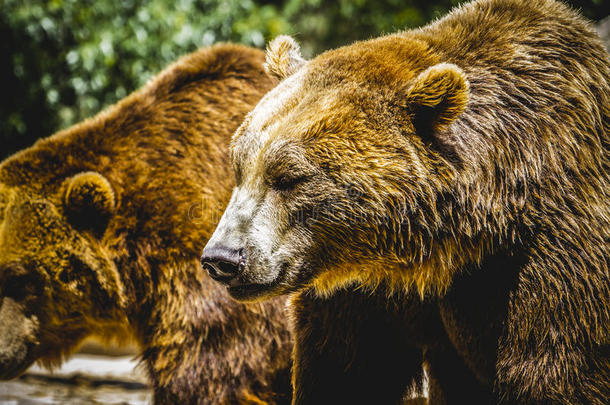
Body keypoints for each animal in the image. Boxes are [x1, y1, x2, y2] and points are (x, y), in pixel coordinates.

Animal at [201, 1, 608, 402]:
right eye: (239, 168)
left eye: (289, 177)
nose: (222, 258)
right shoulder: (365, 289)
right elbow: (343, 373)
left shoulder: (552, 254)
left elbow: (555, 369)